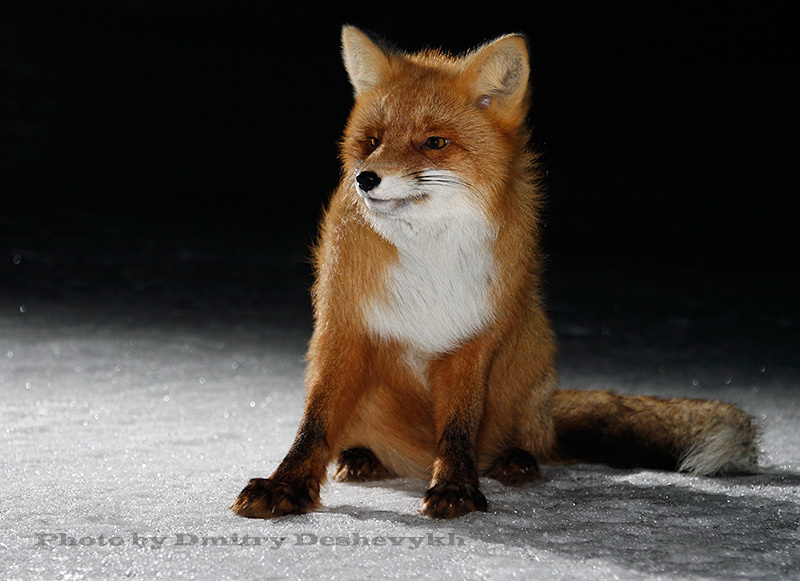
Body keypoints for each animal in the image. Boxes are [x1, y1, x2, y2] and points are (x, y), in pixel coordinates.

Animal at [231, 26, 759, 519]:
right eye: (372, 141)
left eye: (434, 143)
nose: (366, 178)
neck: (429, 261)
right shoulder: (344, 328)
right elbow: (315, 425)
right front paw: (285, 486)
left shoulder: (473, 339)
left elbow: (459, 429)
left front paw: (455, 489)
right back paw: (364, 456)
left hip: (529, 357)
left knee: (522, 437)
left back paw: (515, 460)